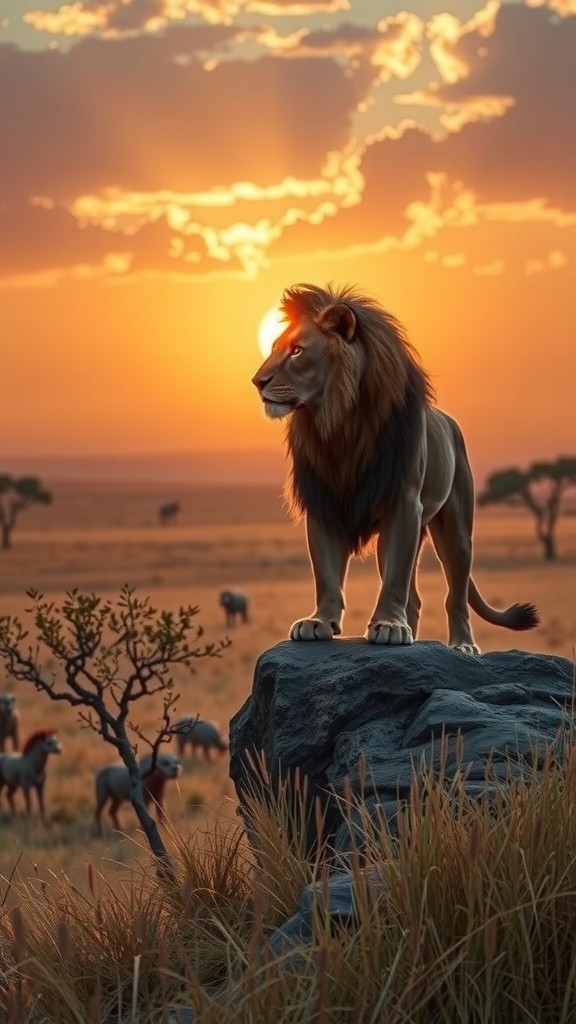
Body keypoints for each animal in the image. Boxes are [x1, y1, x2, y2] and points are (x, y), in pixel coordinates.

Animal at [251, 283, 539, 654]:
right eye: (274, 348)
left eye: (298, 351)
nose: (257, 381)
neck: (340, 423)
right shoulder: (323, 502)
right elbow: (326, 573)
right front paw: (319, 621)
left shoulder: (403, 503)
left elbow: (394, 580)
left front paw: (389, 625)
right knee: (415, 598)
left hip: (457, 529)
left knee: (456, 596)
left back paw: (462, 645)